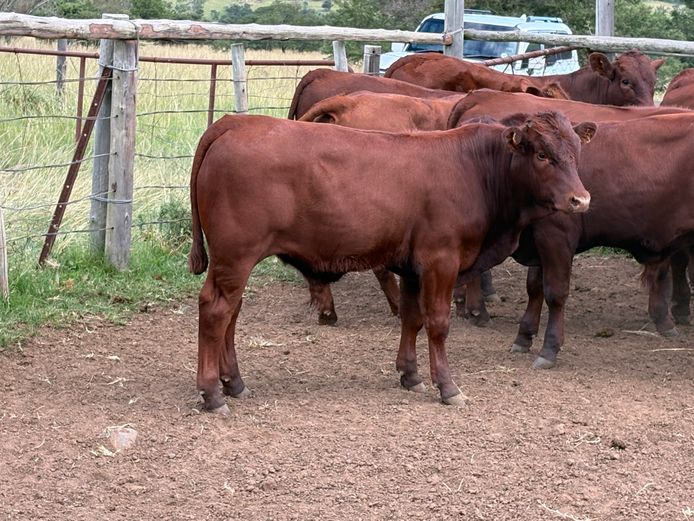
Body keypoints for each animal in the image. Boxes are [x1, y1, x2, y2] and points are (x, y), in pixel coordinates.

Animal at [188, 112, 595, 413]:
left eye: (576, 153)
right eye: (542, 155)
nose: (581, 199)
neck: (474, 170)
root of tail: (234, 123)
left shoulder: (413, 268)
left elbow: (412, 319)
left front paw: (410, 375)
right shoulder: (441, 261)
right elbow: (438, 323)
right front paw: (447, 386)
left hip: (232, 262)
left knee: (230, 313)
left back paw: (234, 382)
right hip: (236, 256)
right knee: (216, 311)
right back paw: (213, 393)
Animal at [502, 113, 694, 370]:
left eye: (577, 153)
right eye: (541, 154)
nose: (580, 199)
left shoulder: (556, 237)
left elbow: (555, 292)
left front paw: (549, 348)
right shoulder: (538, 240)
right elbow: (534, 288)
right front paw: (523, 336)